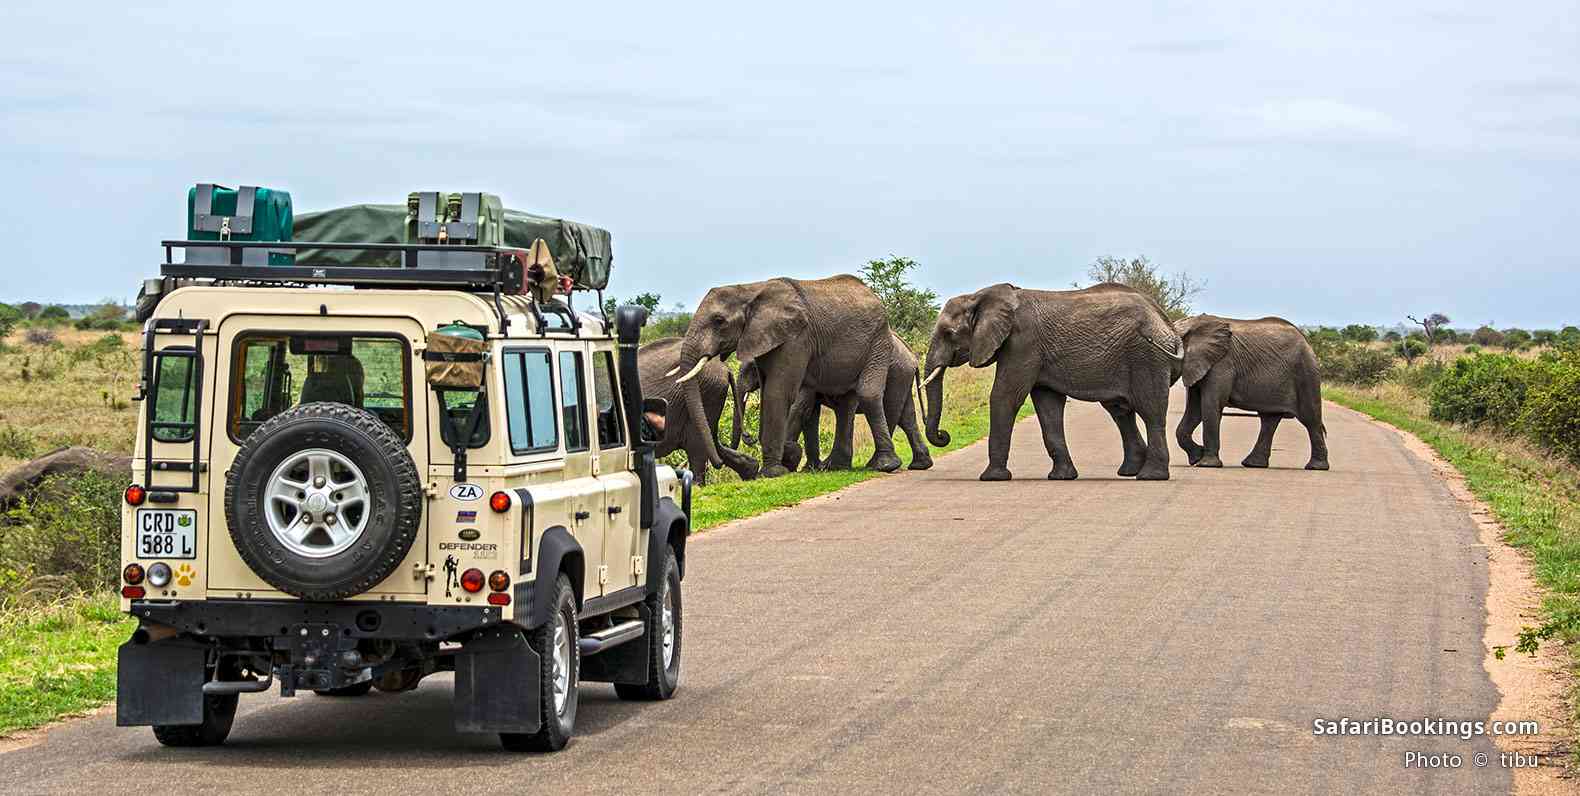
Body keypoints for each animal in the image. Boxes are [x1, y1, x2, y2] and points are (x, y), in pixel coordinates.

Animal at [672, 275, 900, 478]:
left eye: (719, 321)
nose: (748, 437)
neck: (751, 289)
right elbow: (767, 394)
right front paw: (784, 460)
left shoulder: (796, 338)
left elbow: (777, 393)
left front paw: (773, 472)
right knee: (845, 404)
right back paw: (836, 467)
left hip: (878, 341)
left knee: (868, 394)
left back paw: (885, 465)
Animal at [921, 282, 1183, 481]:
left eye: (948, 333)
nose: (944, 435)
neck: (980, 296)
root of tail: (1167, 324)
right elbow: (1047, 407)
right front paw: (1062, 477)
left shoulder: (1023, 343)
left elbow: (1004, 396)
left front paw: (991, 478)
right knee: (1120, 412)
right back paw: (1130, 472)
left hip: (1148, 356)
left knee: (1151, 412)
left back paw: (1151, 476)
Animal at [1173, 315, 1329, 470]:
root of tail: (1306, 341)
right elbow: (1195, 409)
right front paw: (1196, 457)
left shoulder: (1222, 364)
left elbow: (1210, 405)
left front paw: (1206, 464)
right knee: (1269, 419)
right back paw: (1253, 464)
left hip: (1306, 372)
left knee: (1310, 419)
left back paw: (1316, 467)